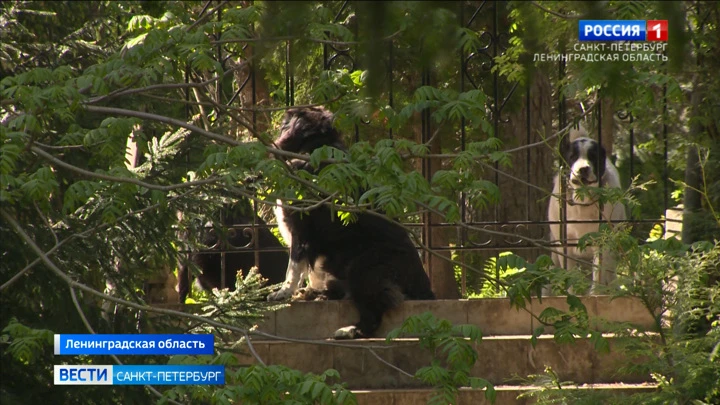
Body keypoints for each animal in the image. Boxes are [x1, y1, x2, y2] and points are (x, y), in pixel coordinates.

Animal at [266, 106, 430, 338]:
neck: (314, 146)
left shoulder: (301, 229)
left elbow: (294, 265)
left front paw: (283, 292)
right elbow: (310, 270)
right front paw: (308, 291)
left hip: (362, 269)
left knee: (373, 314)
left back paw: (349, 330)